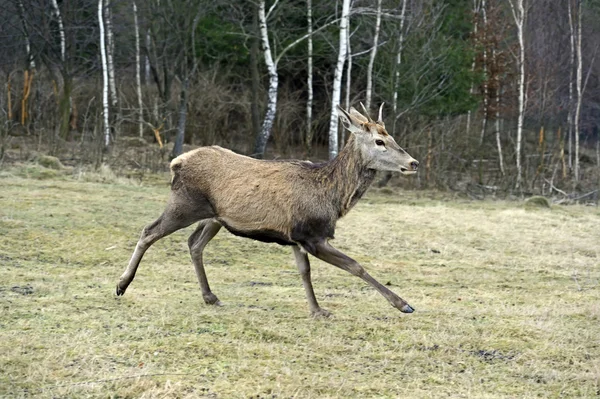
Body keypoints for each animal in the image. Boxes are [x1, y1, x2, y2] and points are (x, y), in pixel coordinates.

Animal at [116, 104, 418, 318]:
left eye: (391, 137)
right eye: (379, 141)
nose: (413, 162)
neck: (333, 198)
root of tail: (176, 161)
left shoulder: (295, 237)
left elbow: (304, 272)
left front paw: (317, 310)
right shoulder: (311, 234)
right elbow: (355, 265)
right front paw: (403, 304)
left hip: (215, 217)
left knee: (194, 243)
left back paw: (210, 296)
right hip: (184, 204)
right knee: (149, 231)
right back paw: (122, 284)